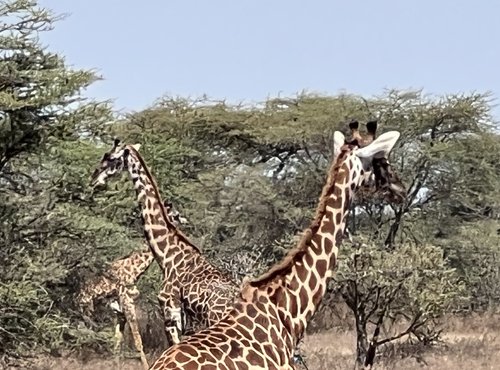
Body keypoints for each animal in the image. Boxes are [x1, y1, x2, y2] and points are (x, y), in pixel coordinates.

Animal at [76, 202, 188, 370]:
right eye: (175, 215)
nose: (185, 221)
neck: (135, 270)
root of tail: (76, 294)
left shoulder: (120, 311)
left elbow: (117, 340)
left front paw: (116, 364)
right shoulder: (128, 303)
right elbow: (137, 339)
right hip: (87, 308)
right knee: (84, 329)